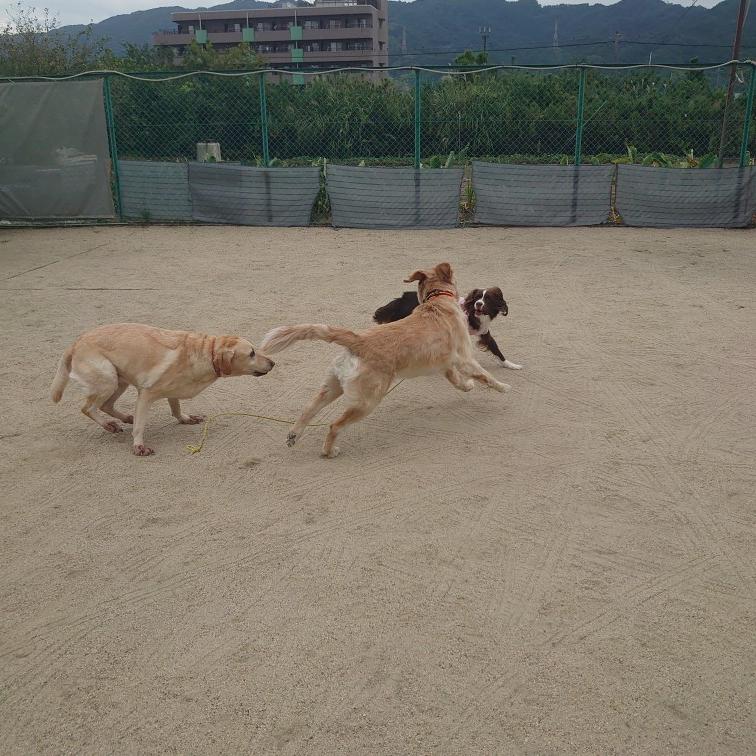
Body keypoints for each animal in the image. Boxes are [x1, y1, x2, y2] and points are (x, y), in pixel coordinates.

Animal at [51, 323, 275, 456]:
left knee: (105, 405)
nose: (273, 363)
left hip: (119, 381)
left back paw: (123, 418)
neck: (206, 352)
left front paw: (185, 419)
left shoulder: (173, 392)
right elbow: (140, 425)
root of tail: (75, 343)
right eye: (252, 353)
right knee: (88, 408)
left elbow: (176, 408)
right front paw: (138, 445)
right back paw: (109, 425)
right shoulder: (146, 394)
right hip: (108, 379)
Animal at [374, 287, 522, 370]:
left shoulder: (484, 333)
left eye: (488, 299)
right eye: (477, 298)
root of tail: (402, 298)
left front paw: (510, 365)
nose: (479, 304)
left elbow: (496, 349)